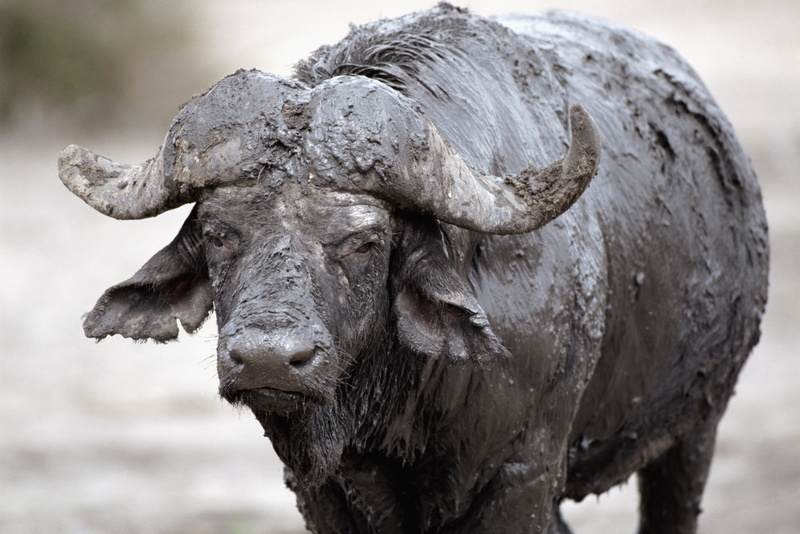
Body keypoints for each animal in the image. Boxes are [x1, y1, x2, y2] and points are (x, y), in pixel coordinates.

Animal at [58, 4, 768, 533]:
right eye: (216, 233)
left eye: (365, 241)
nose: (267, 360)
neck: (403, 407)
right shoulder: (323, 491)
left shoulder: (525, 475)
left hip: (697, 425)